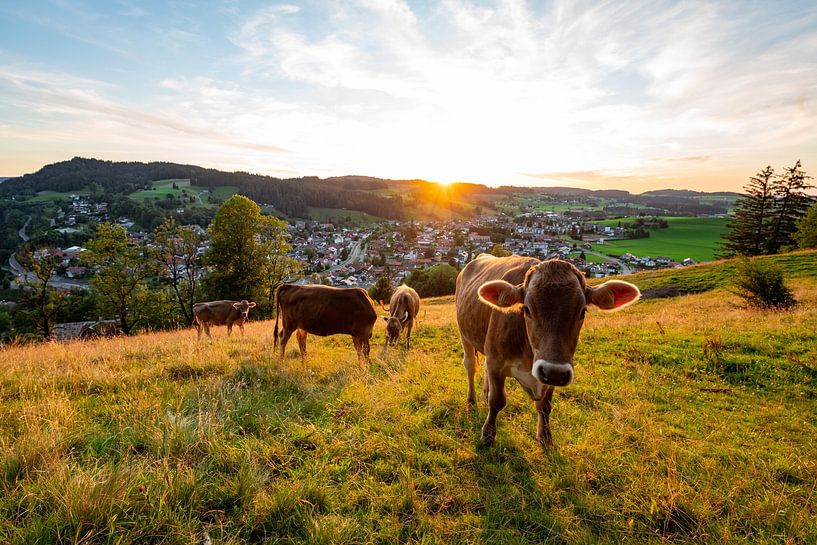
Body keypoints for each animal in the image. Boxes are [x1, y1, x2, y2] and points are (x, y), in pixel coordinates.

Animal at [455, 254, 640, 446]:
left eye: (582, 312)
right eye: (527, 309)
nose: (554, 372)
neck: (529, 355)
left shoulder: (553, 371)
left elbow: (544, 407)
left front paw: (545, 437)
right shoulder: (496, 362)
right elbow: (497, 401)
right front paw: (488, 435)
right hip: (464, 335)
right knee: (471, 366)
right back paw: (471, 401)